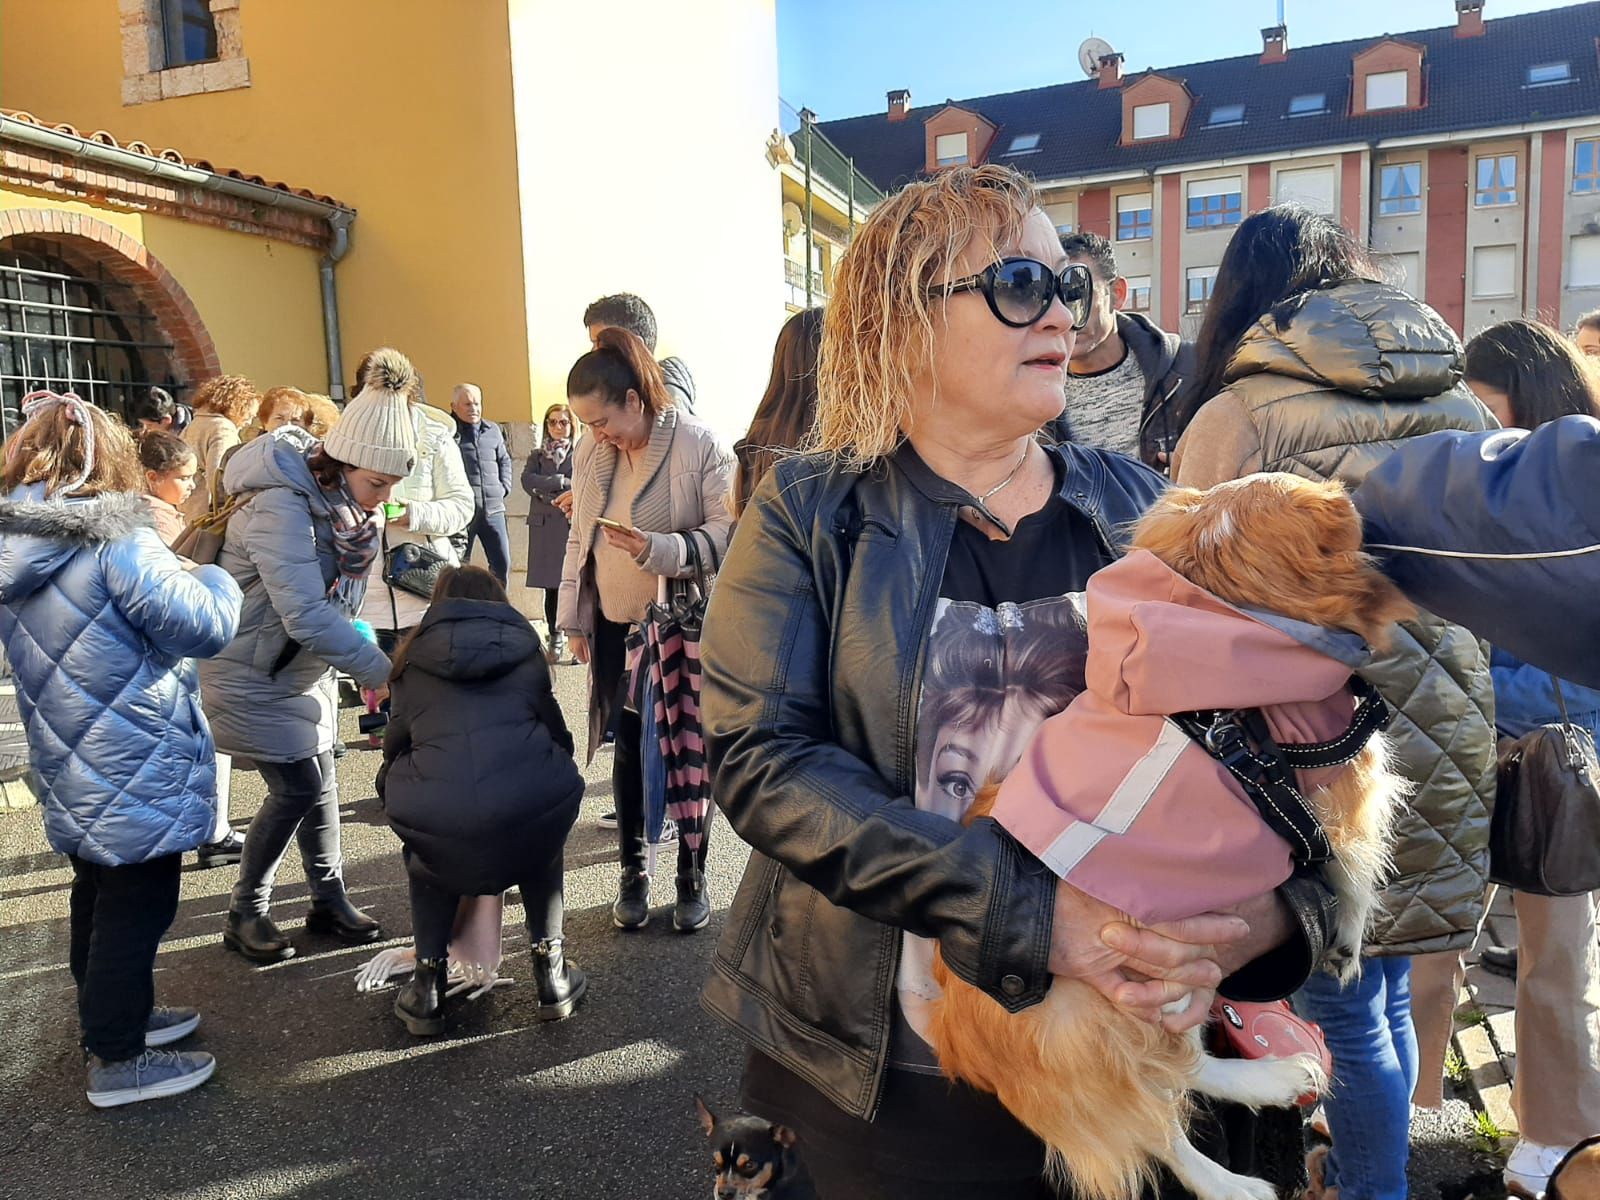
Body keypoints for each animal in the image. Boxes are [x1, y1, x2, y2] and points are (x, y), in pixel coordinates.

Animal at [928, 473, 1414, 1200]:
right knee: (1153, 1121)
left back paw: (1273, 1078)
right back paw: (1235, 1184)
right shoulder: (1340, 772)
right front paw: (1351, 942)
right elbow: (1357, 864)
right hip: (1093, 1025)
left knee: (1183, 1062)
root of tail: (961, 1047)